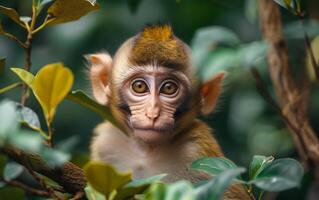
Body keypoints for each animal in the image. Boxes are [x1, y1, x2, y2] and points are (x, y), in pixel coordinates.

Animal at [87, 24, 252, 199]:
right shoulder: (106, 142)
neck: (147, 152)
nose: (152, 113)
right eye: (139, 86)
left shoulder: (198, 152)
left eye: (168, 88)